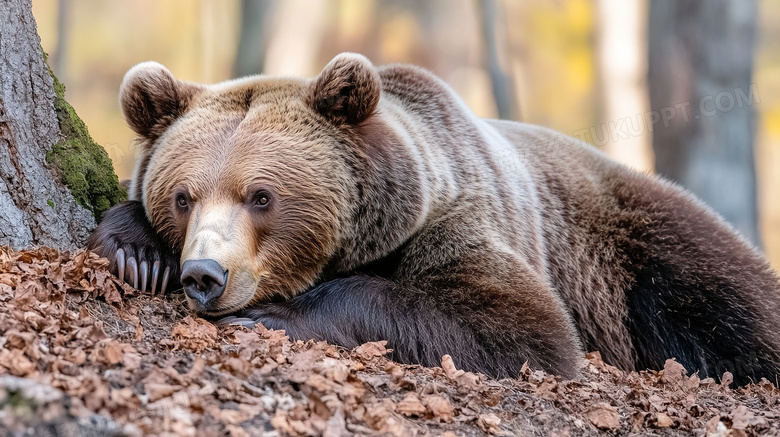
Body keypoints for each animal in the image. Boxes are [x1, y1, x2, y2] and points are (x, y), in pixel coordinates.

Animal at [88, 52, 780, 384]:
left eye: (261, 196)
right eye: (183, 197)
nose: (204, 274)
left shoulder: (463, 218)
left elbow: (525, 329)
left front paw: (279, 313)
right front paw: (136, 251)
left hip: (645, 246)